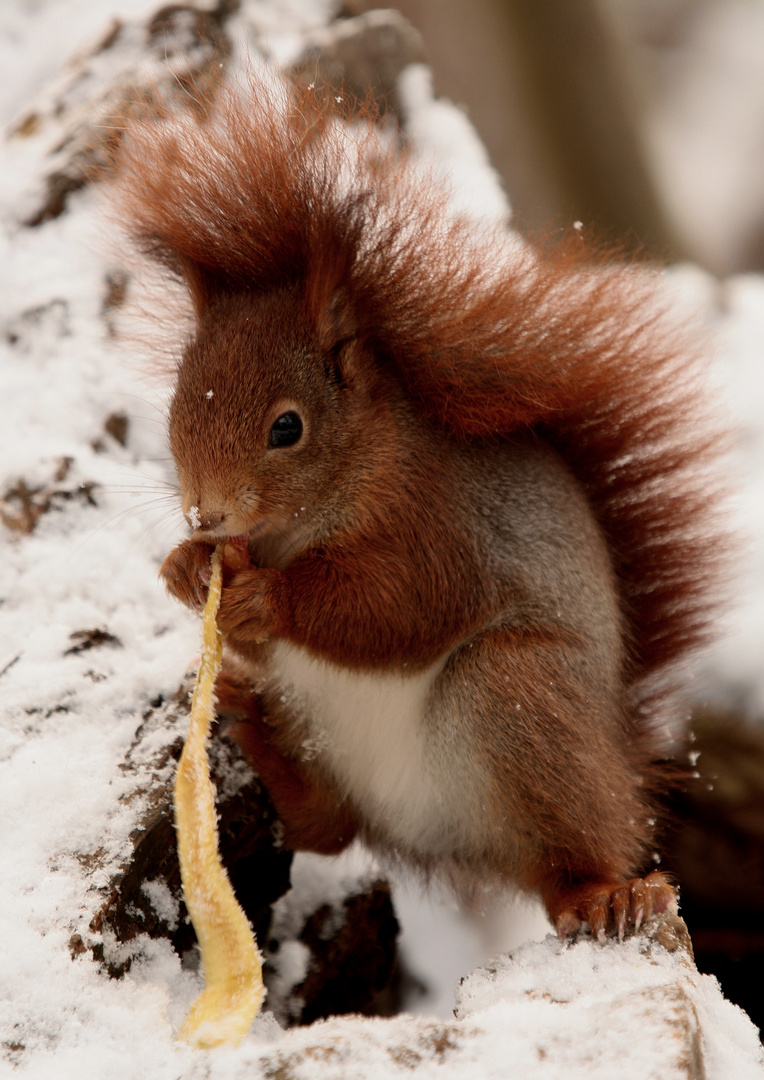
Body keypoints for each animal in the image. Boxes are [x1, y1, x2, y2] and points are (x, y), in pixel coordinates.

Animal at [110, 73, 721, 937]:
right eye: (173, 409)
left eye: (288, 427)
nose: (207, 514)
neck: (308, 520)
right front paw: (184, 568)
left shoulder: (440, 523)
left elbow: (404, 606)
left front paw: (267, 596)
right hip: (317, 723)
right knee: (329, 829)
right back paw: (253, 728)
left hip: (517, 693)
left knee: (561, 859)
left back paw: (603, 892)